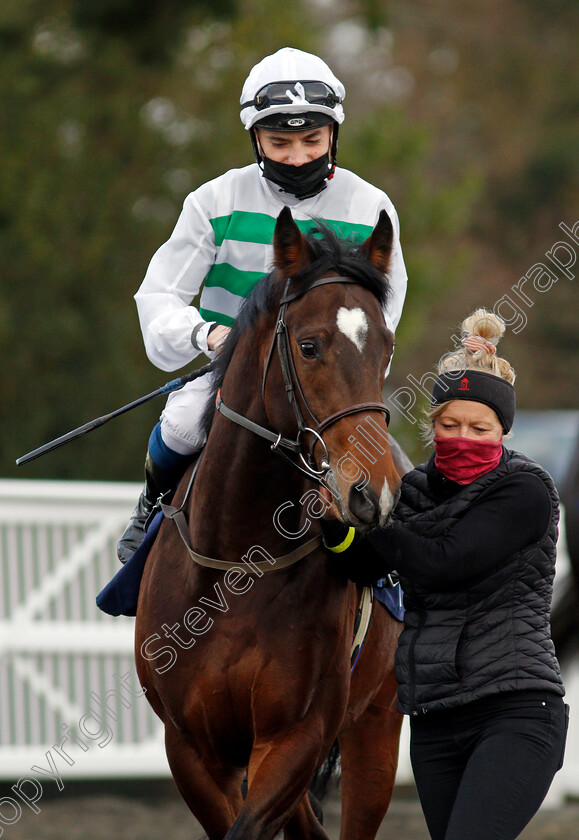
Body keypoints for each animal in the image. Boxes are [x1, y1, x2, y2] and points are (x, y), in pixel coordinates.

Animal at [134, 205, 406, 840]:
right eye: (309, 346)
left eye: (384, 346)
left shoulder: (297, 735)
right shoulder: (190, 747)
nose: (375, 494)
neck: (236, 564)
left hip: (377, 721)